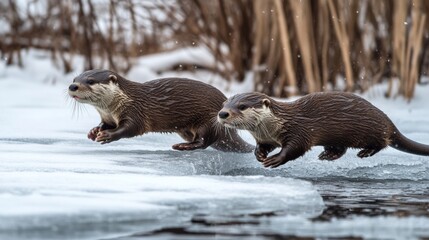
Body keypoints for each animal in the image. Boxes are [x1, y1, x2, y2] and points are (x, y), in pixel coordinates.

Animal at [68, 68, 252, 153]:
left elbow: (130, 129)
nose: (72, 86)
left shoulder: (135, 112)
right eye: (75, 78)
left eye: (91, 81)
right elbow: (104, 124)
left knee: (203, 141)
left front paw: (108, 135)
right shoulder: (107, 117)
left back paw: (182, 146)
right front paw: (94, 131)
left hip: (209, 121)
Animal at [217, 91, 428, 168]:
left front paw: (275, 159)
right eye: (225, 103)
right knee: (340, 149)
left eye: (242, 106)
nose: (223, 113)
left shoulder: (300, 131)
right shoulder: (267, 137)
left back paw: (365, 152)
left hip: (371, 129)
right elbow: (263, 146)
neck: (275, 125)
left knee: (382, 142)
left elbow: (296, 148)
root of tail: (388, 121)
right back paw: (327, 155)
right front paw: (259, 154)